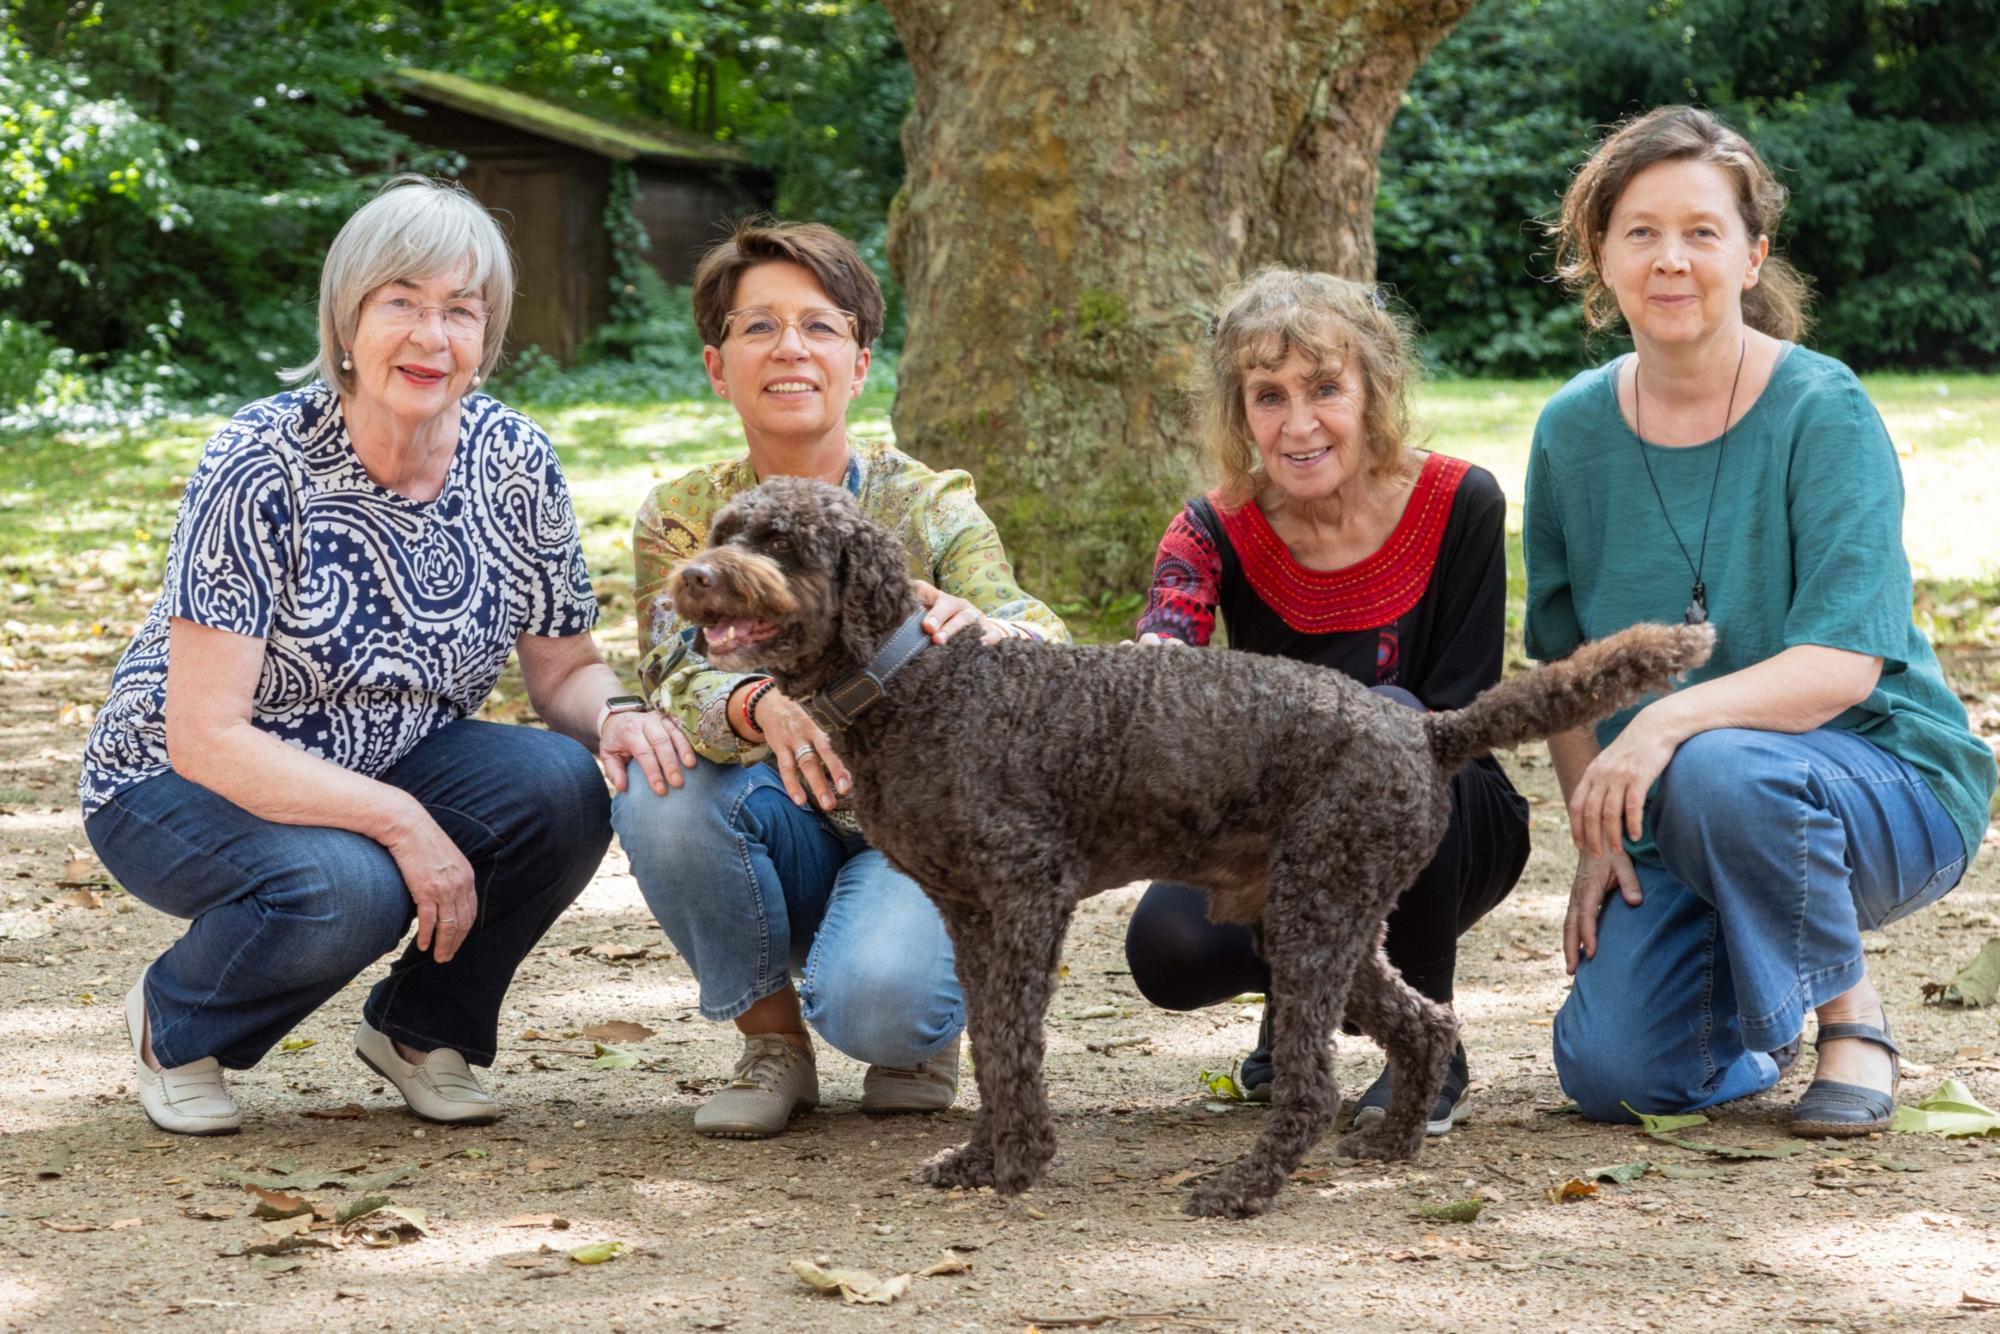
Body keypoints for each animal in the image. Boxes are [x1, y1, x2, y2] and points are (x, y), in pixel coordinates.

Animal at [668, 480, 1704, 1224]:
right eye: (724, 528)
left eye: (783, 544)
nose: (694, 578)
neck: (915, 681)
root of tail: (1423, 731)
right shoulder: (969, 916)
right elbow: (996, 1042)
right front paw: (983, 1157)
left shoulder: (1029, 895)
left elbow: (1012, 1043)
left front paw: (1021, 1161)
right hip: (1327, 917)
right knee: (1423, 1021)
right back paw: (1392, 1146)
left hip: (1315, 913)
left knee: (1313, 1084)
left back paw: (1246, 1189)